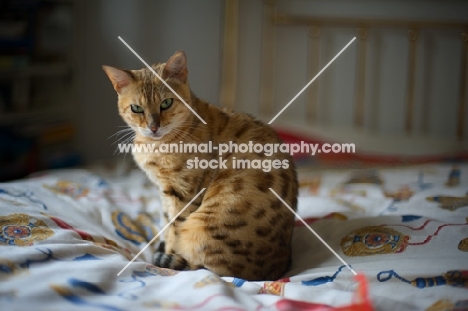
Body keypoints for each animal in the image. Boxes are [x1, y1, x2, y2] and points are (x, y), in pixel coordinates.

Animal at [103, 51, 298, 282]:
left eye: (166, 103)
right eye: (136, 108)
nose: (153, 127)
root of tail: (278, 267)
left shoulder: (182, 193)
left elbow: (174, 230)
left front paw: (167, 257)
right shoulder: (165, 192)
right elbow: (167, 223)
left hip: (202, 229)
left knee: (211, 268)